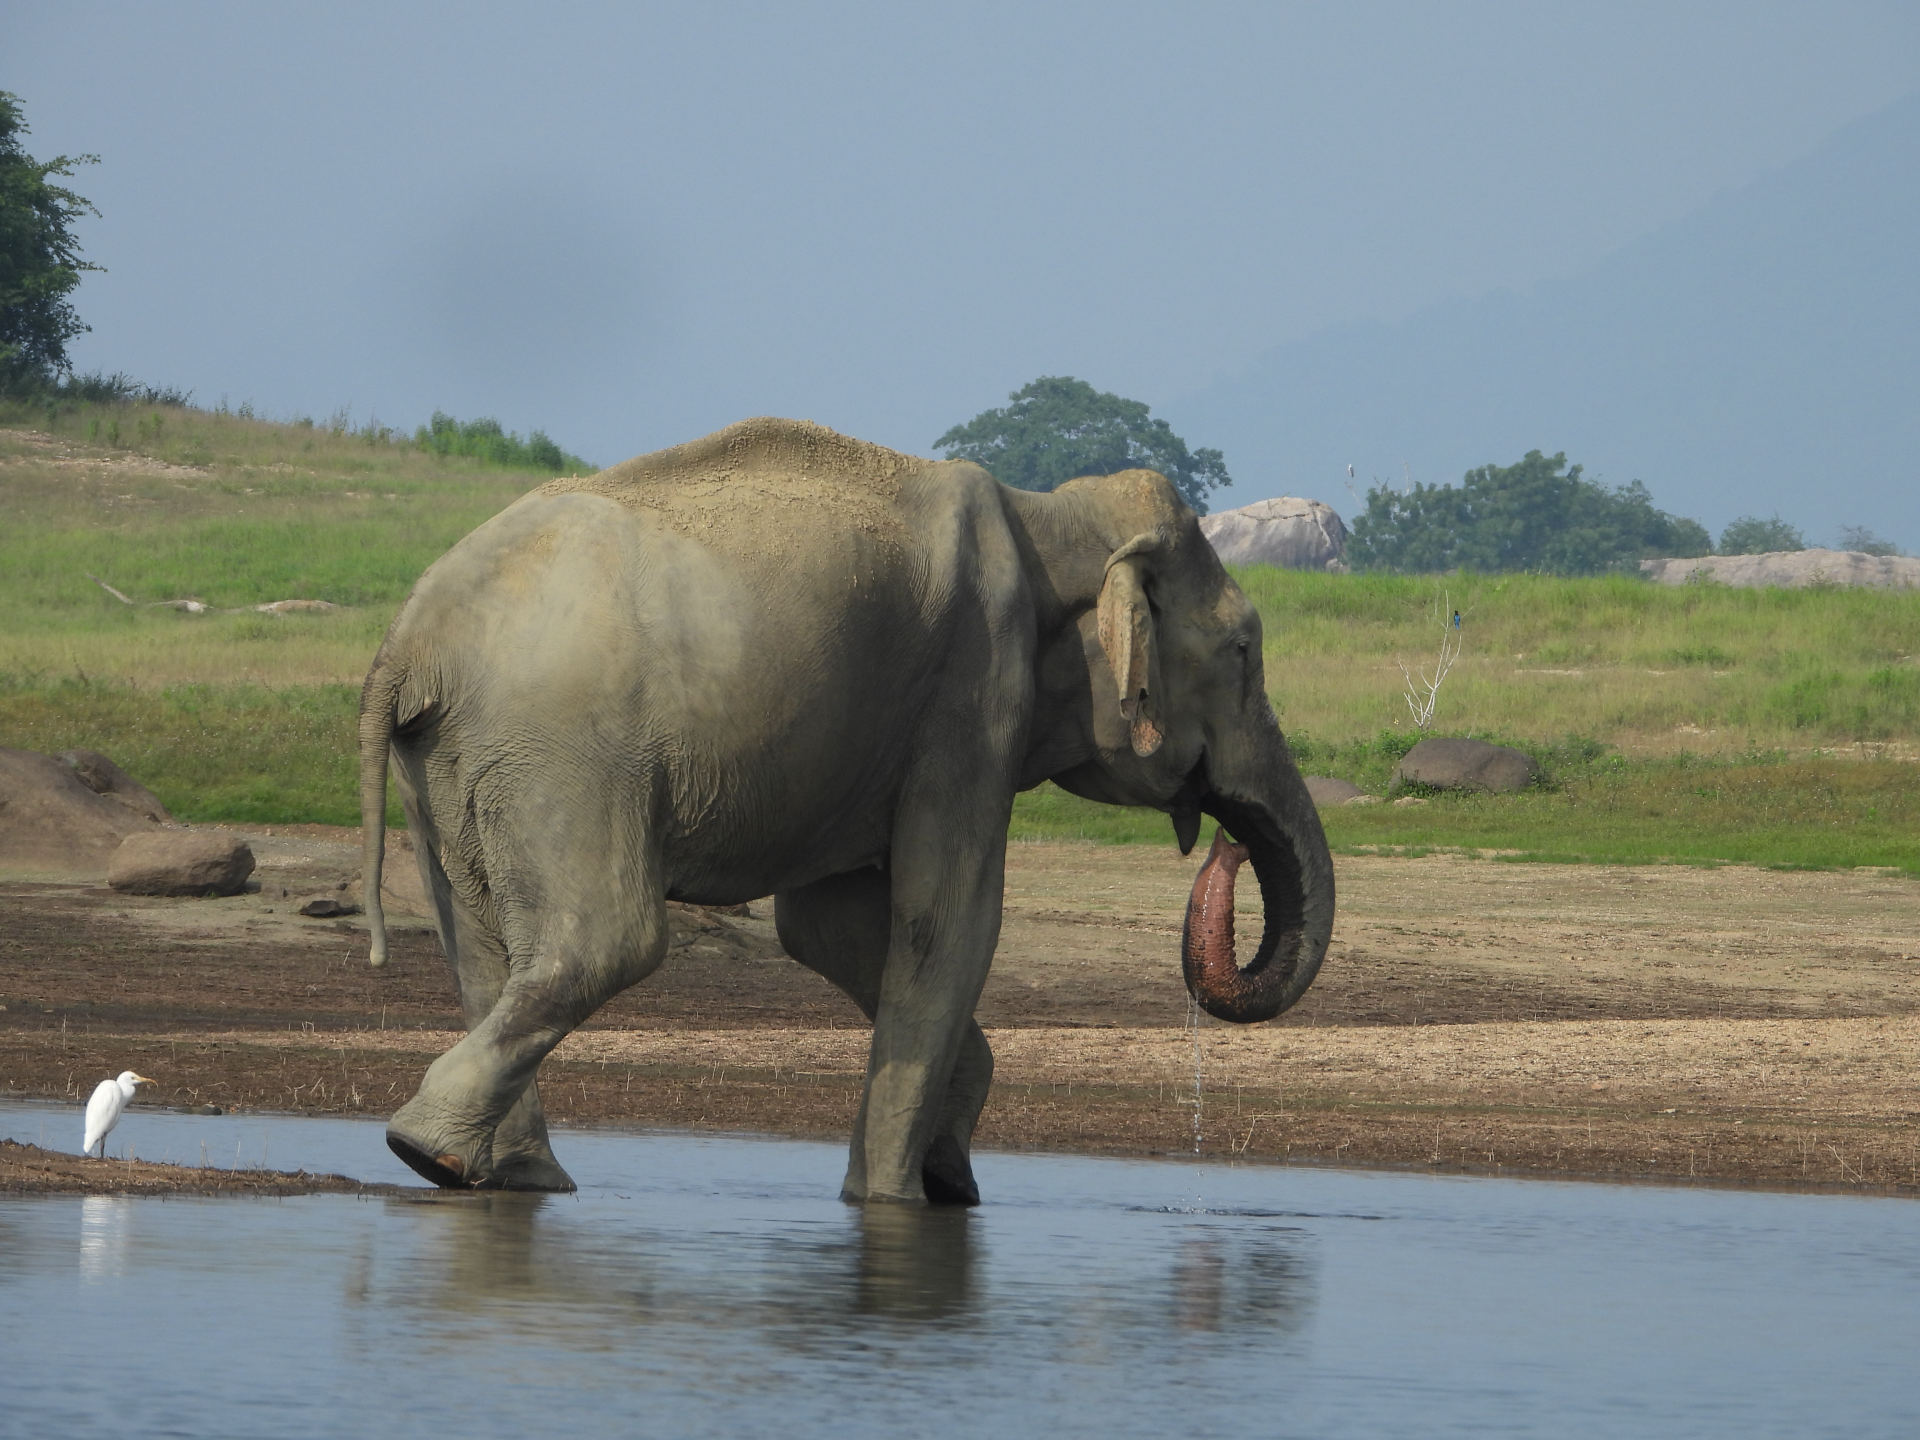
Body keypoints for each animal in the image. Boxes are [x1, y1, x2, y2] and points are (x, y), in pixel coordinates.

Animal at [358, 417, 1334, 1203]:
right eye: (1244, 652)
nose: (1222, 839)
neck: (1052, 514)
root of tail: (407, 640)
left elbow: (826, 927)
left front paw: (946, 1177)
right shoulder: (976, 686)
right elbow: (947, 921)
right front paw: (893, 1203)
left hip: (456, 761)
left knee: (483, 949)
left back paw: (501, 1174)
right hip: (563, 747)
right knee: (605, 942)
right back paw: (428, 1153)